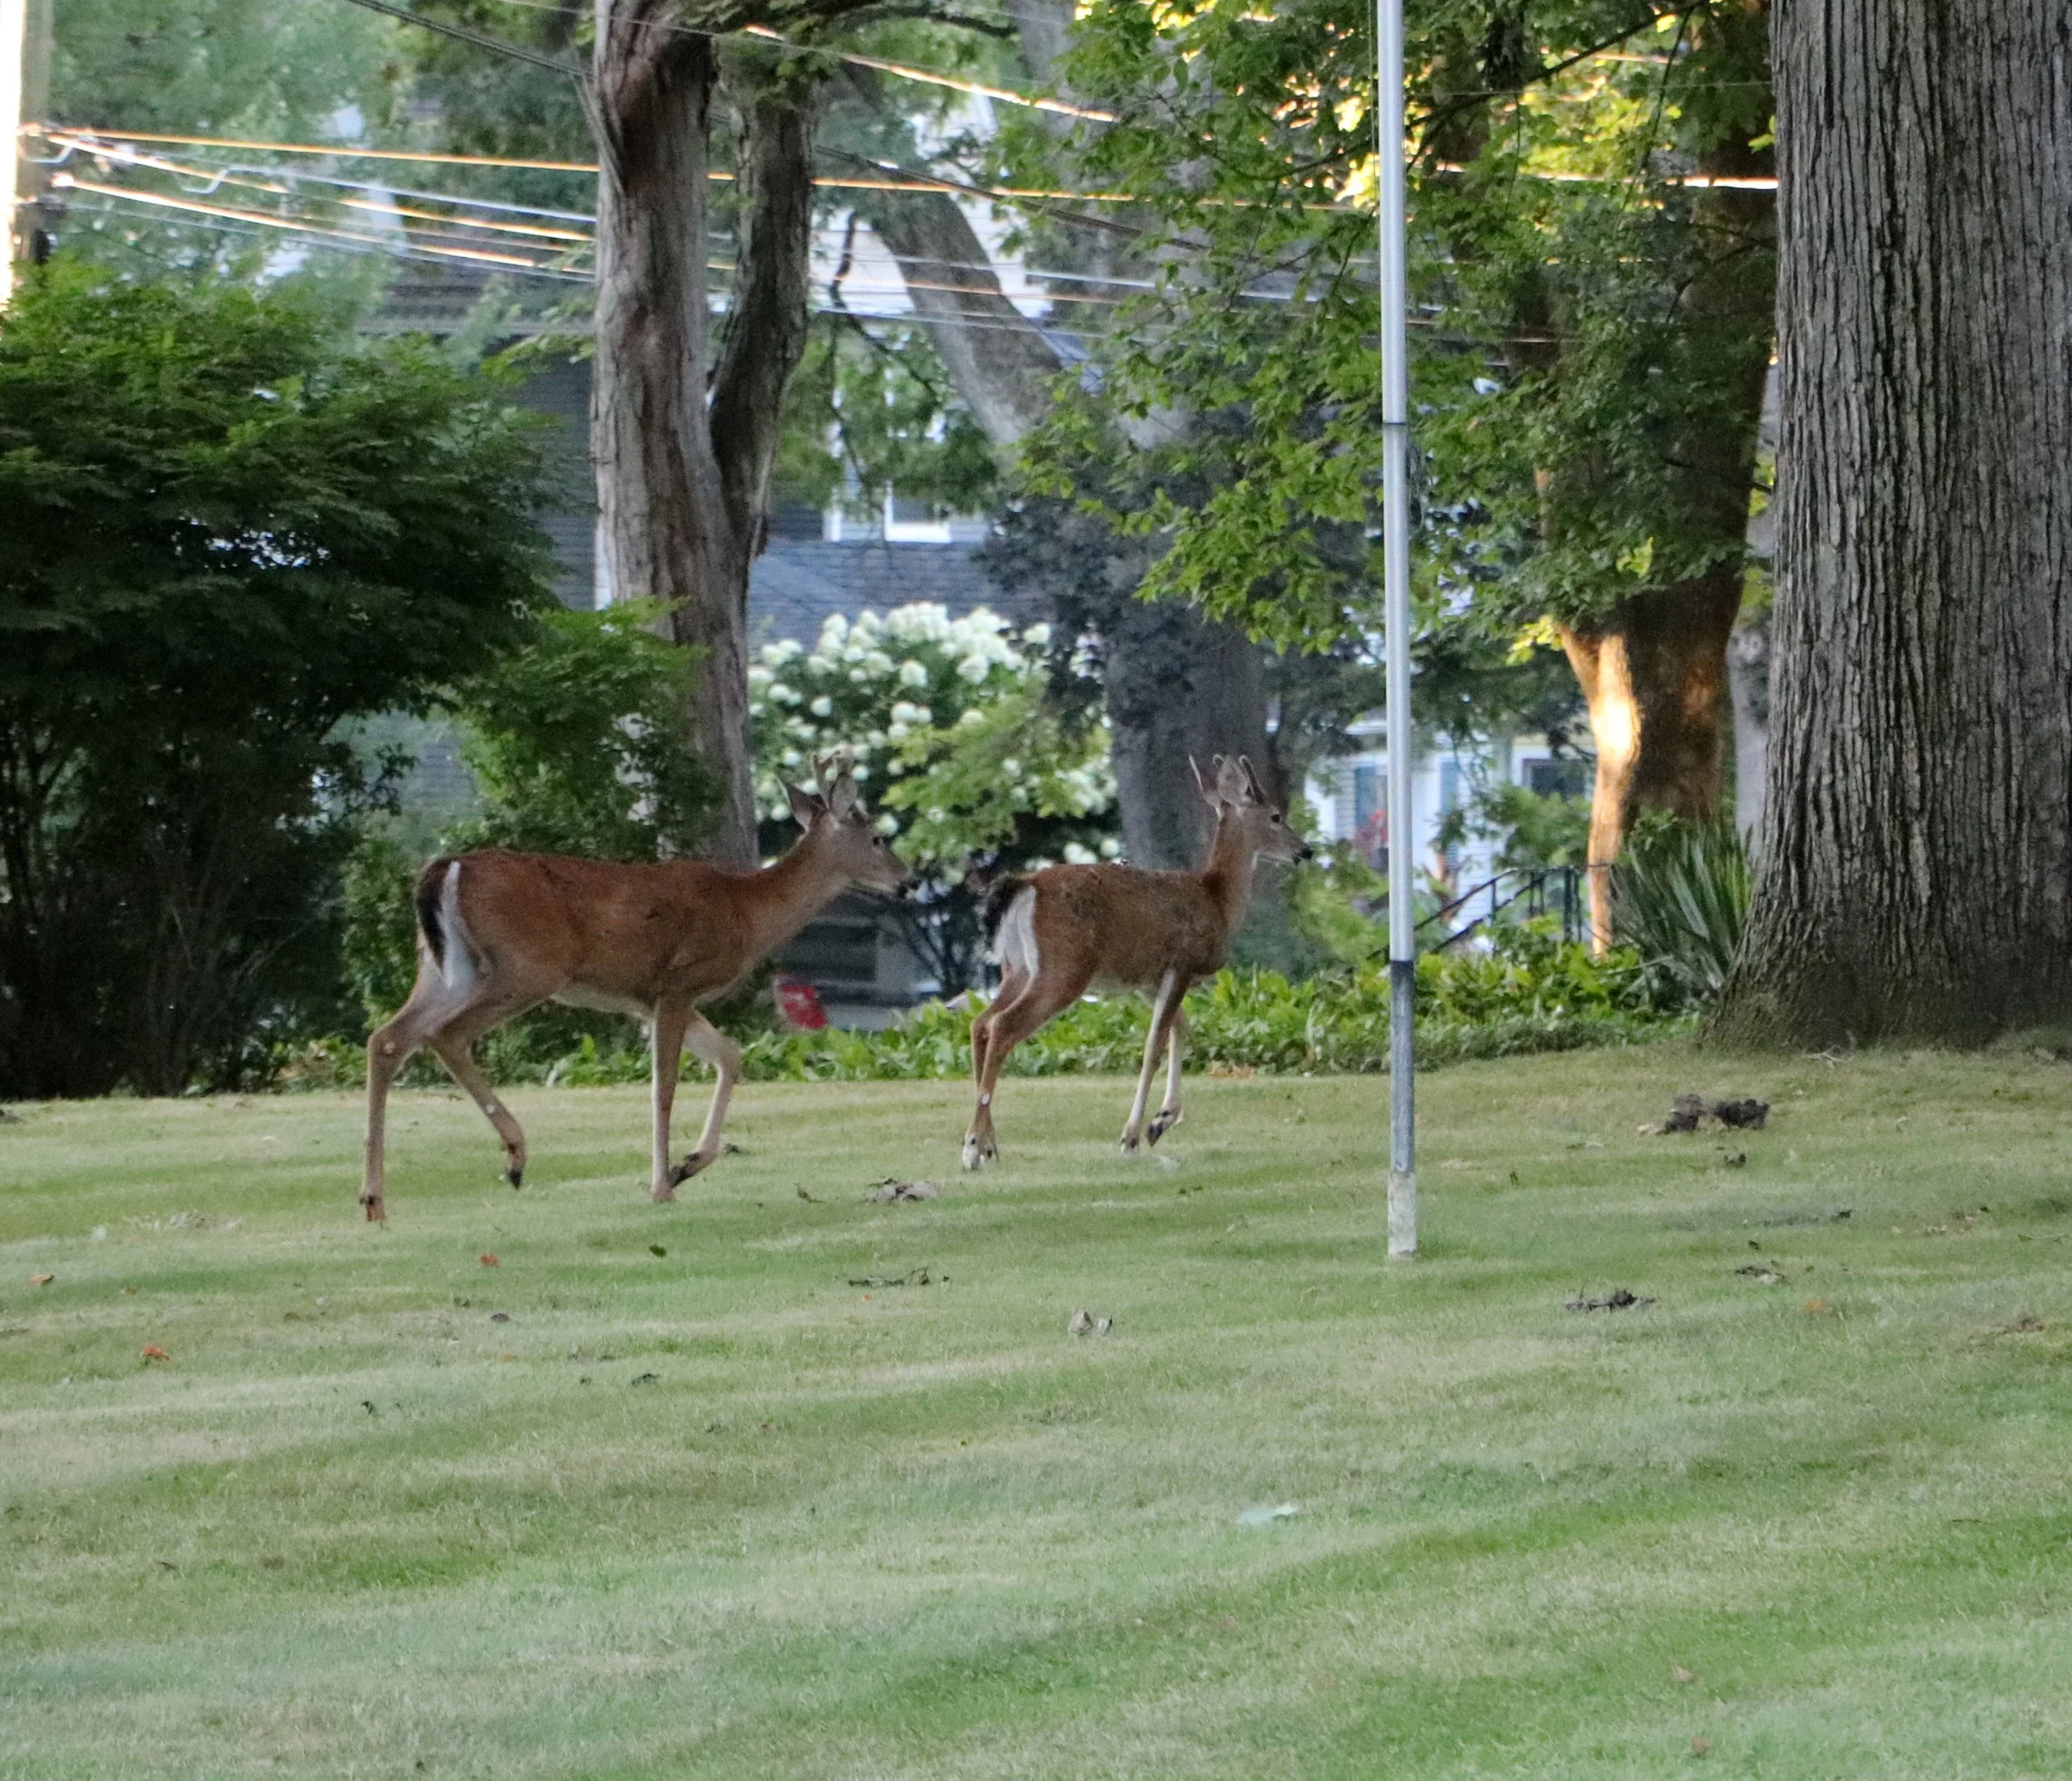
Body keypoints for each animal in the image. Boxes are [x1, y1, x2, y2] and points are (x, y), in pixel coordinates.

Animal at [360, 752, 909, 1222]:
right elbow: (664, 1086)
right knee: (444, 1034)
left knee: (388, 1038)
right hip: (527, 968)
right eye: (878, 839)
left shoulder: (649, 998)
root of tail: (446, 868)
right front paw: (662, 1185)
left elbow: (731, 1056)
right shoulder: (678, 983)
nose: (908, 881)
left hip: (444, 967)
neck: (746, 912)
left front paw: (687, 1165)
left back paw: (374, 1200)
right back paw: (514, 1157)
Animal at [963, 754, 1311, 1171]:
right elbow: (1154, 1044)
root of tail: (1025, 885)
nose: (1305, 850)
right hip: (1063, 968)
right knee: (1001, 1026)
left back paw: (988, 1145)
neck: (1217, 900)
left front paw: (1161, 1121)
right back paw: (972, 1146)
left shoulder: (1147, 978)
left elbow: (1181, 1027)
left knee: (980, 1023)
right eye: (1276, 816)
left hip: (1016, 969)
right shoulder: (1181, 963)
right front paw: (1132, 1136)